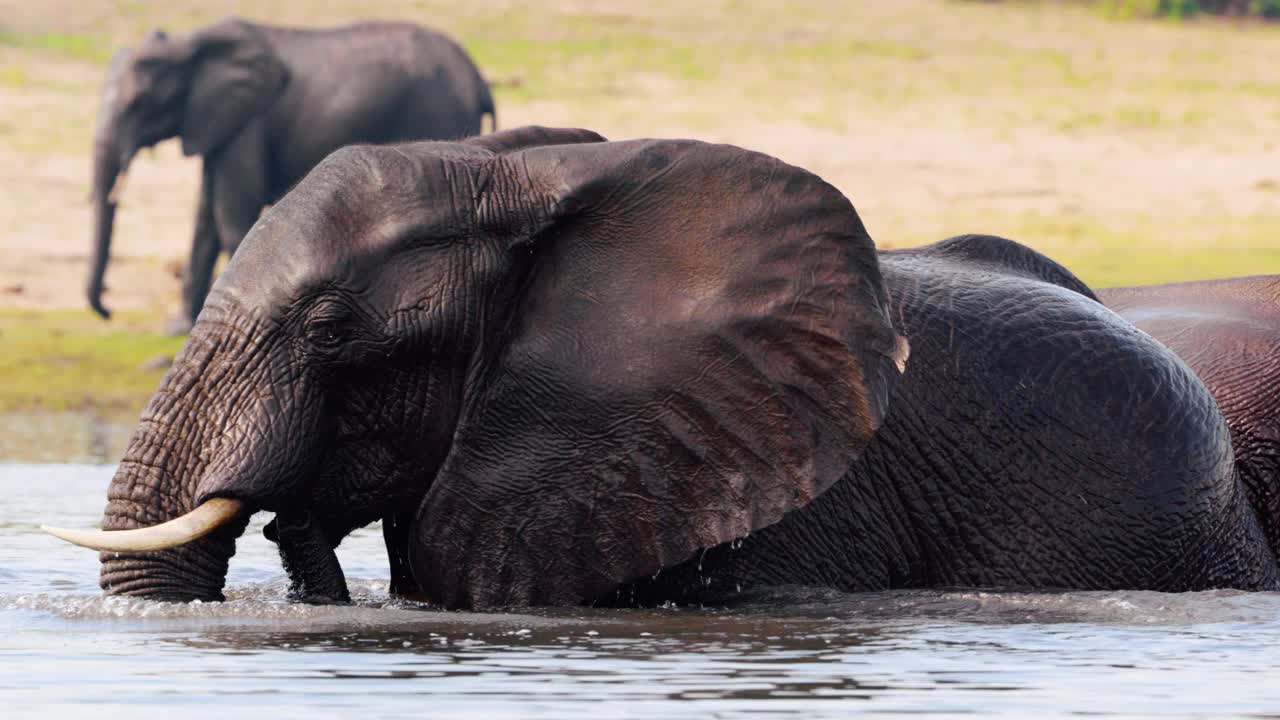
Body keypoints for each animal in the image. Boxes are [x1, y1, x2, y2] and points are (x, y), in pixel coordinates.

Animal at [88, 16, 494, 330]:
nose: (107, 311)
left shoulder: (249, 123)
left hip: (439, 112)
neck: (187, 44)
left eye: (138, 103)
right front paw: (180, 328)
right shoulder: (219, 123)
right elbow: (206, 220)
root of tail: (479, 79)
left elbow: (233, 213)